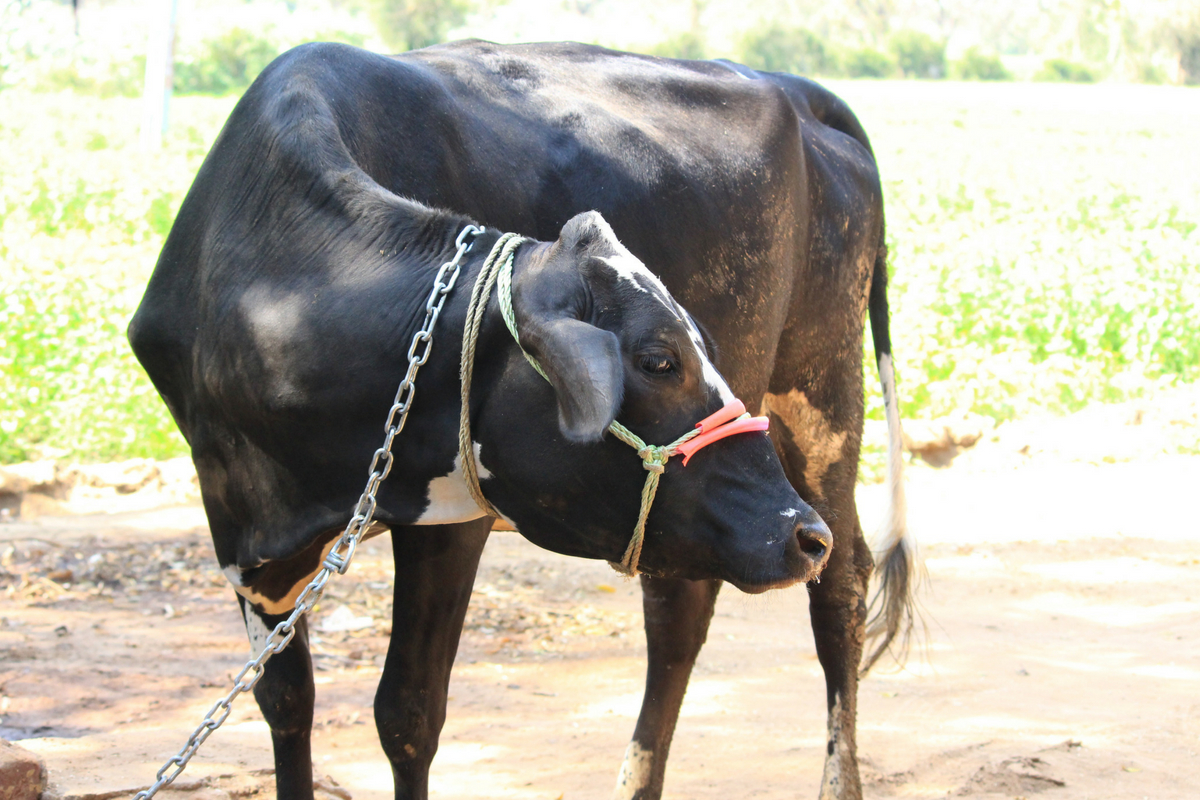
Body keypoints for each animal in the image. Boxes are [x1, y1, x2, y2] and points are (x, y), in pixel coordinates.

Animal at [126, 38, 912, 800]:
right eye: (660, 360)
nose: (799, 533)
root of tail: (793, 87)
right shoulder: (237, 530)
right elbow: (285, 701)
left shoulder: (453, 516)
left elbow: (407, 714)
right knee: (680, 611)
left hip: (823, 395)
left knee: (841, 587)